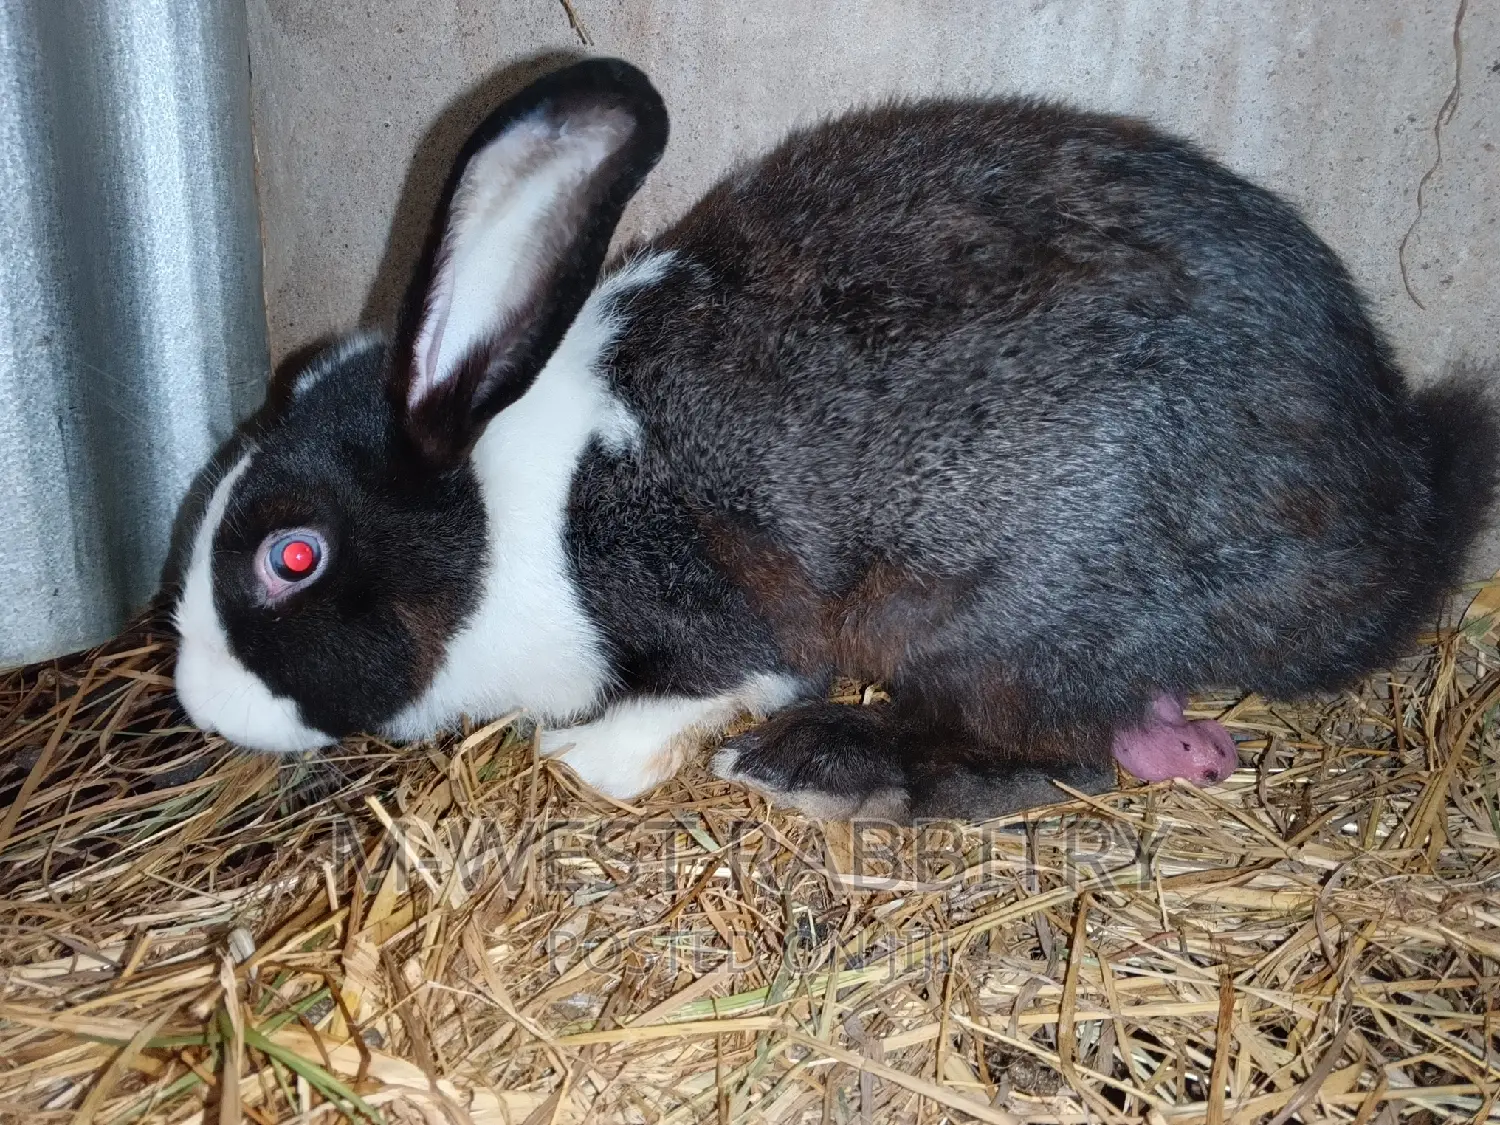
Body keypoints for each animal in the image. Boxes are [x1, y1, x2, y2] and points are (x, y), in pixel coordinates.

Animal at [172, 57, 1496, 822]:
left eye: (293, 557)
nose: (199, 703)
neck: (509, 516)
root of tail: (1396, 519)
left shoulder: (724, 622)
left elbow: (718, 685)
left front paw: (590, 762)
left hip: (999, 627)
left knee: (1054, 755)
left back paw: (817, 767)